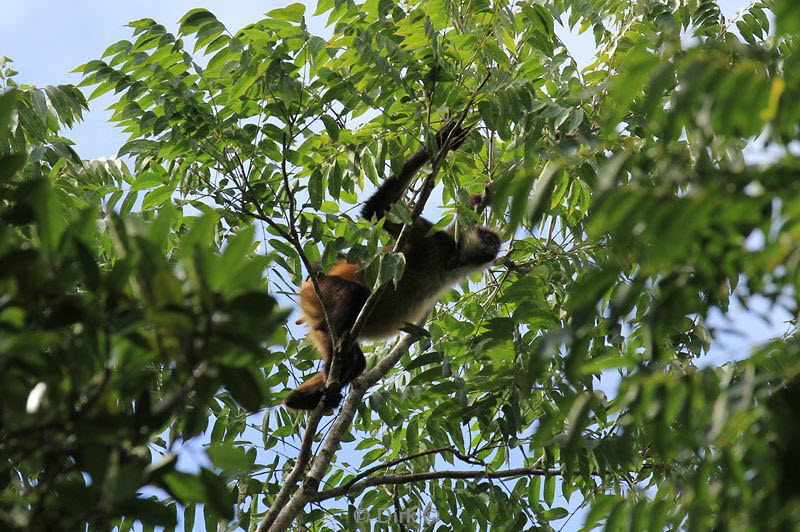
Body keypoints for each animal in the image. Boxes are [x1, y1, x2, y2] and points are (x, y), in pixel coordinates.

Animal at [284, 121, 500, 412]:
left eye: (494, 245)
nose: (493, 250)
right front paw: (447, 137)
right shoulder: (432, 241)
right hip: (323, 292)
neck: (451, 261)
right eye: (488, 240)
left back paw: (301, 398)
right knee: (353, 296)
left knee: (355, 363)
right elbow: (377, 210)